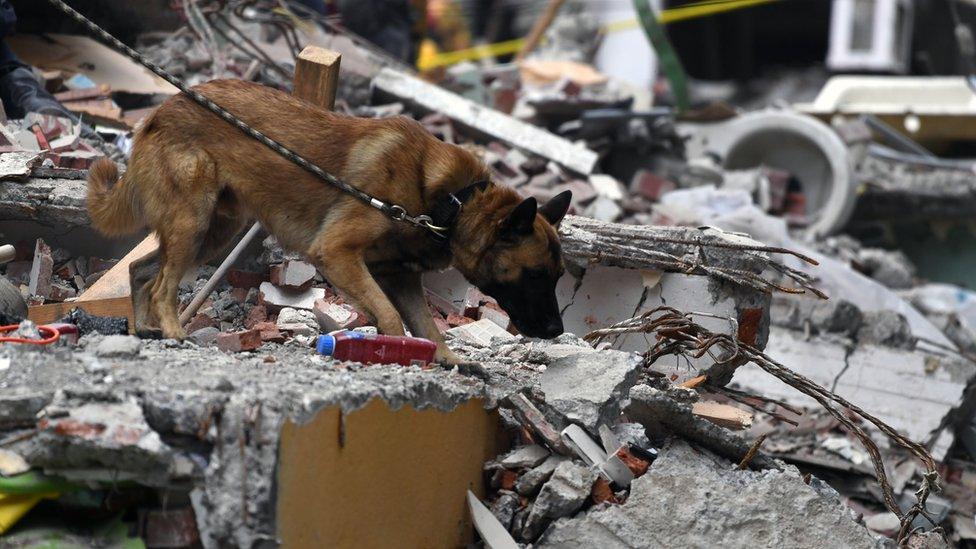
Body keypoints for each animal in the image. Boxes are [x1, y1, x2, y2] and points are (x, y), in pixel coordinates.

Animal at [86, 79, 572, 362]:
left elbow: (428, 327)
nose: (557, 331)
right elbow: (391, 318)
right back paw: (171, 331)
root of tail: (160, 110)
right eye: (534, 275)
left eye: (557, 277)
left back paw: (144, 332)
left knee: (140, 270)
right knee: (161, 285)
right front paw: (392, 353)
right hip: (194, 225)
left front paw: (447, 361)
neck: (449, 204)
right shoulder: (338, 255)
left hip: (212, 234)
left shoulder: (400, 278)